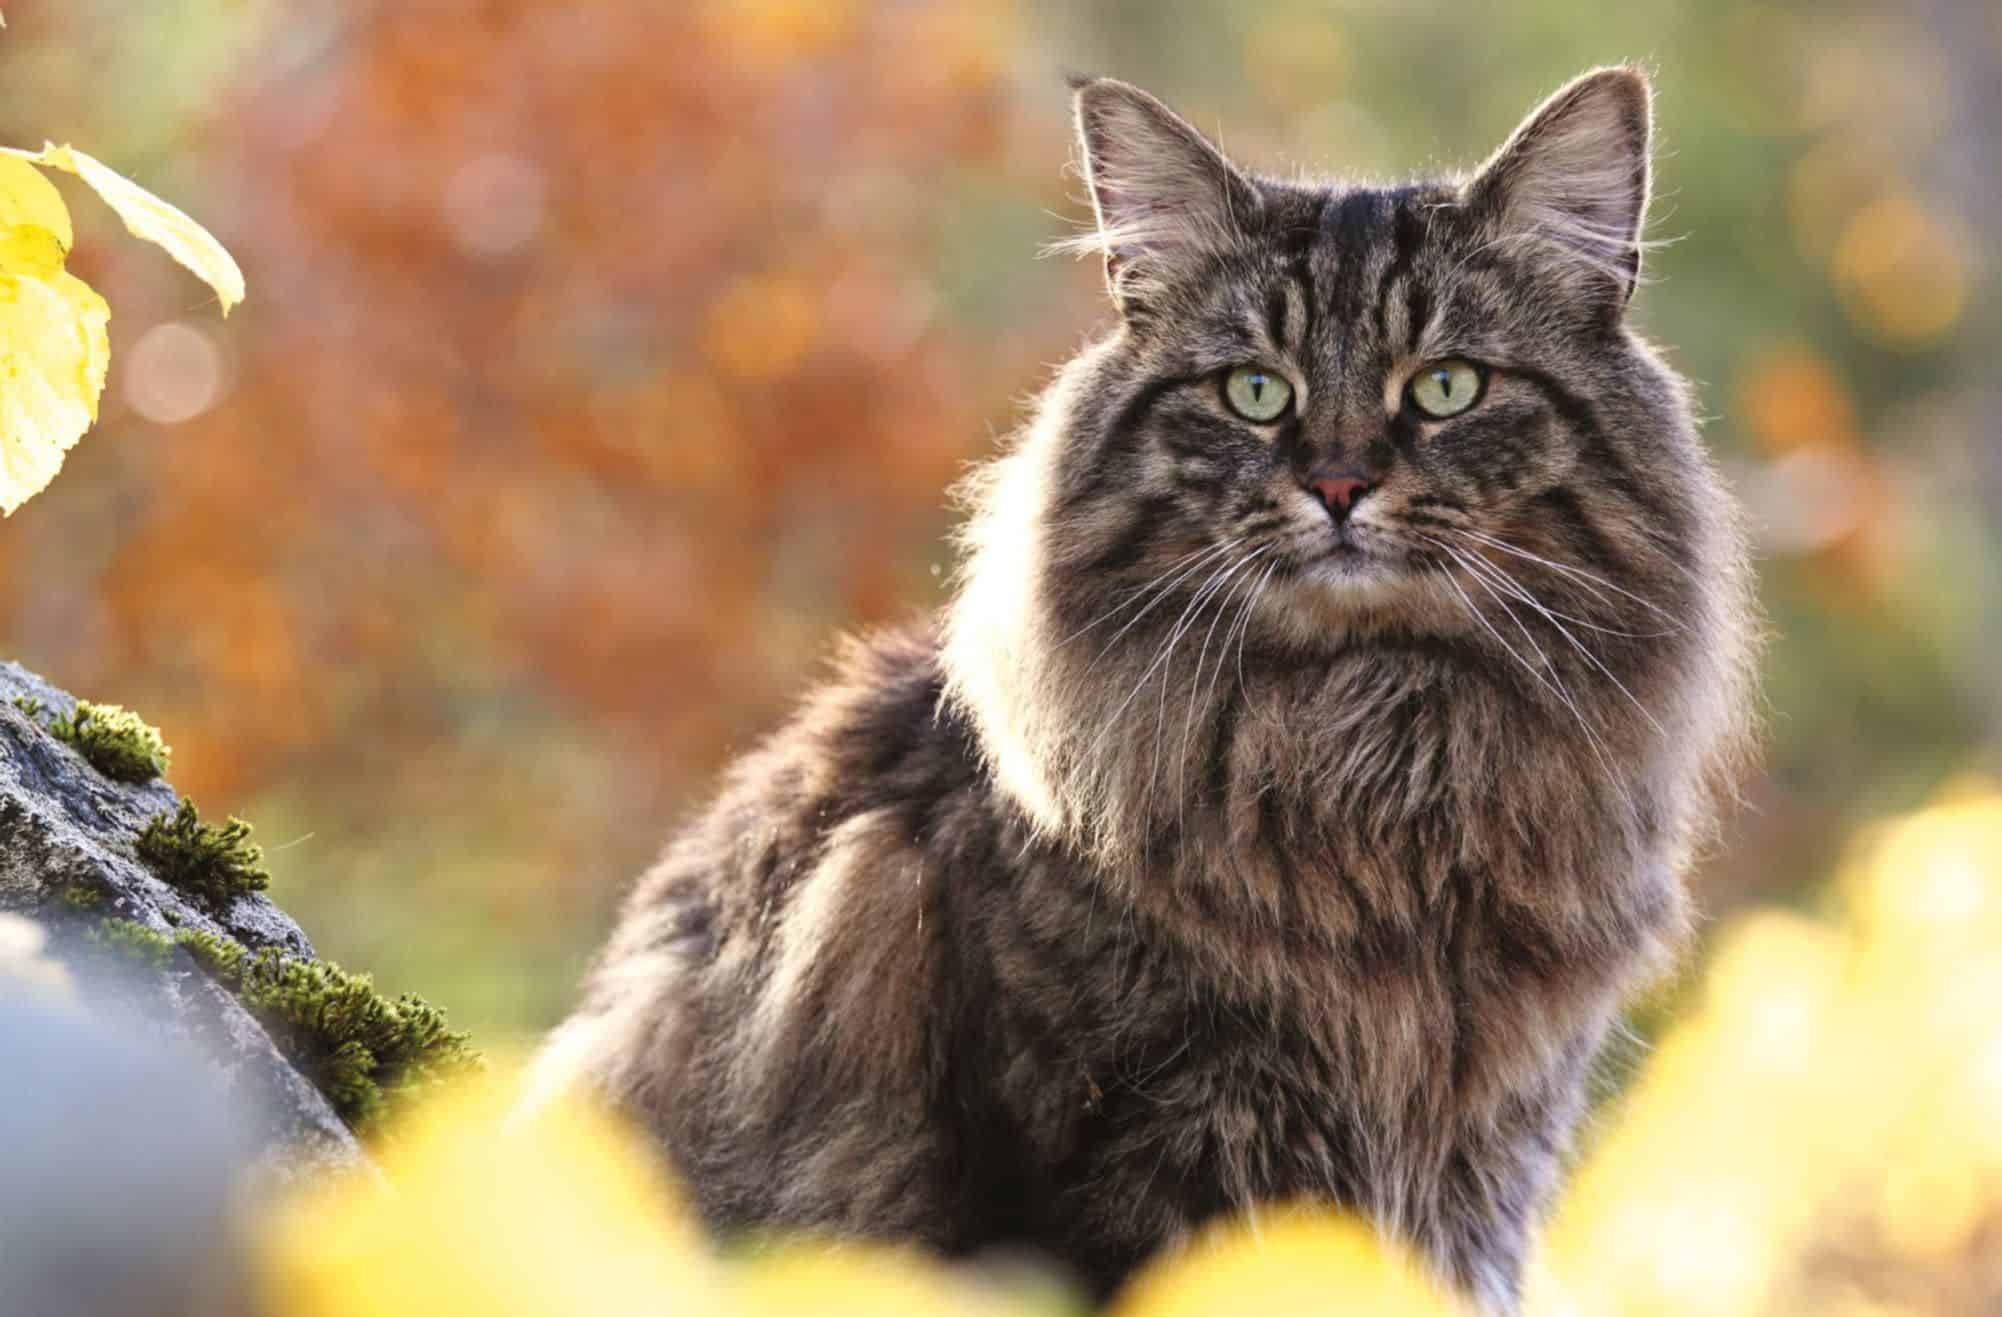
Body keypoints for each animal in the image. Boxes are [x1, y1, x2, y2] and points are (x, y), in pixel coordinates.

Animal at [528, 66, 1753, 1304]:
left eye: (1447, 387)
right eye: (1255, 392)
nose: (1339, 484)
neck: (1367, 771)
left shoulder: (1485, 1159)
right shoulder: (1128, 1160)